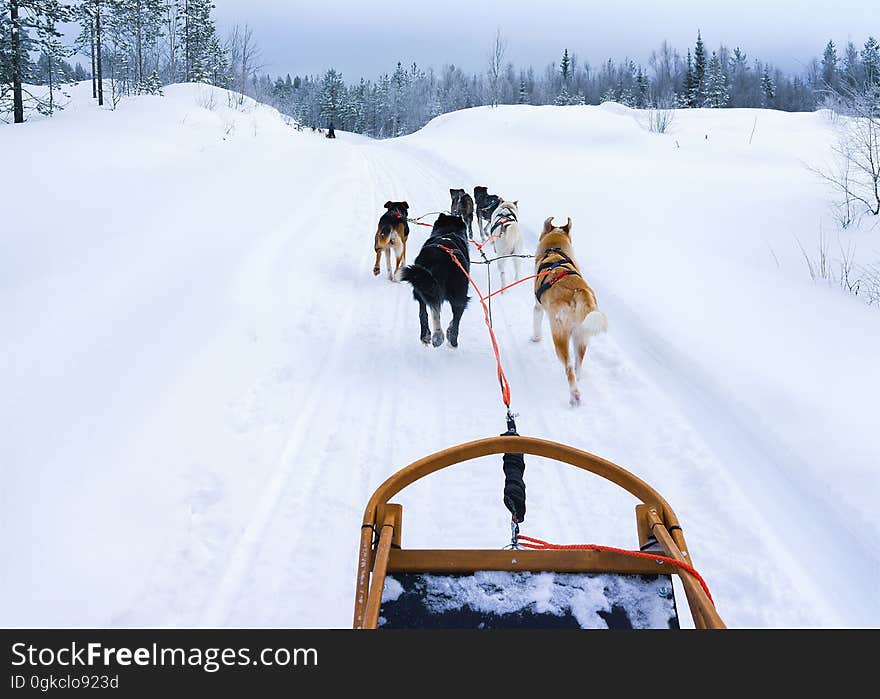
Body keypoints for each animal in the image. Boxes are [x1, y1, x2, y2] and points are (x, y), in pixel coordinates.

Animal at [400, 211, 470, 348]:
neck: (447, 231)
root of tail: (440, 258)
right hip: (455, 293)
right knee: (453, 316)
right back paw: (448, 338)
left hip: (422, 286)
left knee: (427, 312)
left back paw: (431, 336)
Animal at [532, 216, 608, 408]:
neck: (555, 251)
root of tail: (579, 291)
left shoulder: (538, 307)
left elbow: (536, 323)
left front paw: (535, 338)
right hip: (581, 335)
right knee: (577, 364)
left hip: (560, 335)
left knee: (568, 368)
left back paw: (575, 396)